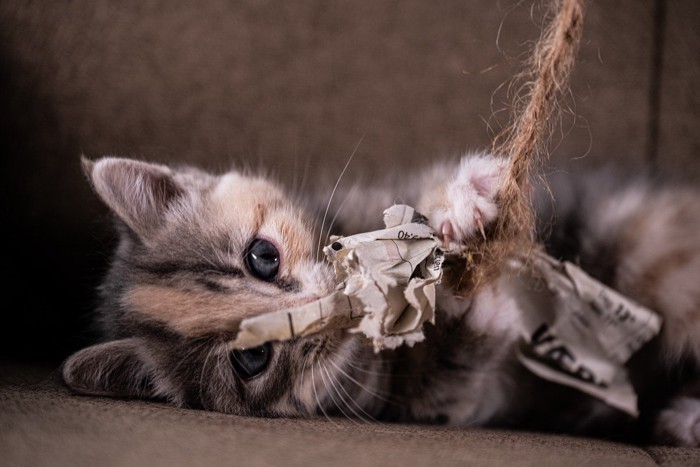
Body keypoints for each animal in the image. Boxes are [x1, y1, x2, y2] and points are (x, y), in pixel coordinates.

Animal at [63, 154, 696, 446]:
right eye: (251, 358)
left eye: (262, 256)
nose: (329, 306)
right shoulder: (443, 404)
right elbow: (451, 383)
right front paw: (476, 315)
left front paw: (462, 199)